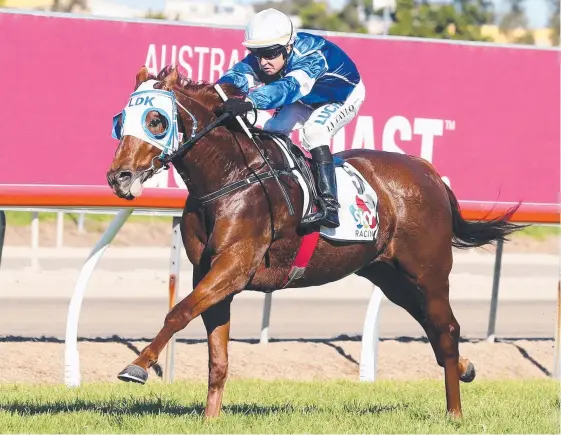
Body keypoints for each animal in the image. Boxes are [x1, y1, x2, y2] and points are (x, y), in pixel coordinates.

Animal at [107, 66, 524, 420]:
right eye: (120, 121)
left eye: (156, 120)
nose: (118, 177)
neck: (231, 176)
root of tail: (428, 171)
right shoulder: (209, 272)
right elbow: (217, 355)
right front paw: (210, 419)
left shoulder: (235, 265)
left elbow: (178, 313)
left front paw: (137, 366)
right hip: (390, 277)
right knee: (433, 327)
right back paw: (466, 368)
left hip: (429, 272)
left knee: (447, 329)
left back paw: (455, 412)